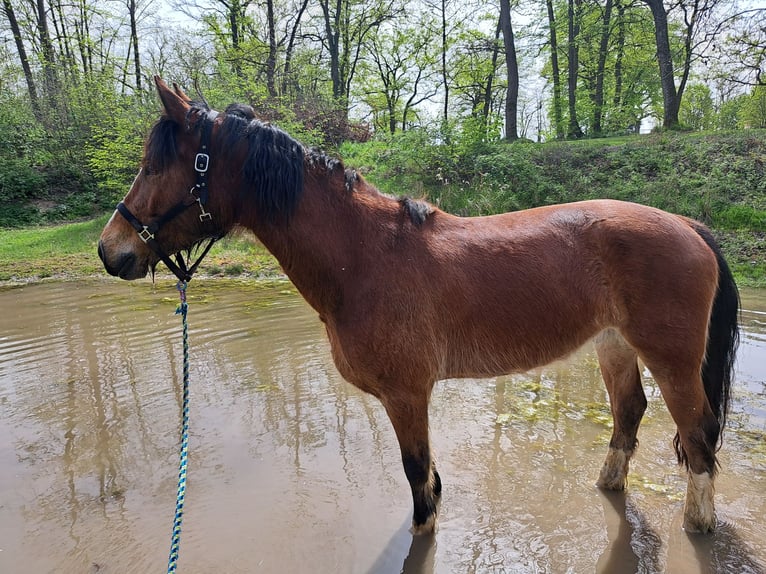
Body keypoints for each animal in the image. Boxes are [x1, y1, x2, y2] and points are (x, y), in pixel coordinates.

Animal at [99, 76, 740, 536]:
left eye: (155, 166)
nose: (111, 250)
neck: (363, 255)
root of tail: (687, 225)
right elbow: (427, 475)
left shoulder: (407, 395)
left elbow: (417, 480)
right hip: (614, 347)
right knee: (629, 415)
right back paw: (608, 486)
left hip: (672, 361)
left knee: (697, 431)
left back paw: (699, 521)